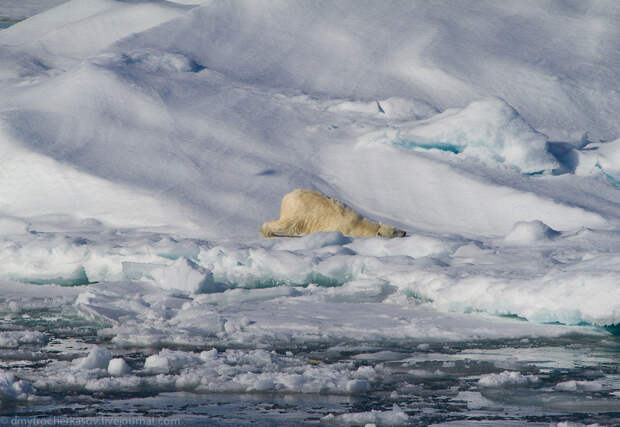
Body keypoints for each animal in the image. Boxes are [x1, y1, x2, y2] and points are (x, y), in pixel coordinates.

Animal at [262, 190, 406, 239]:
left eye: (396, 228)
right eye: (394, 232)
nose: (404, 232)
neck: (360, 226)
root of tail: (287, 196)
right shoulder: (342, 229)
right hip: (299, 211)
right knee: (288, 225)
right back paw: (269, 233)